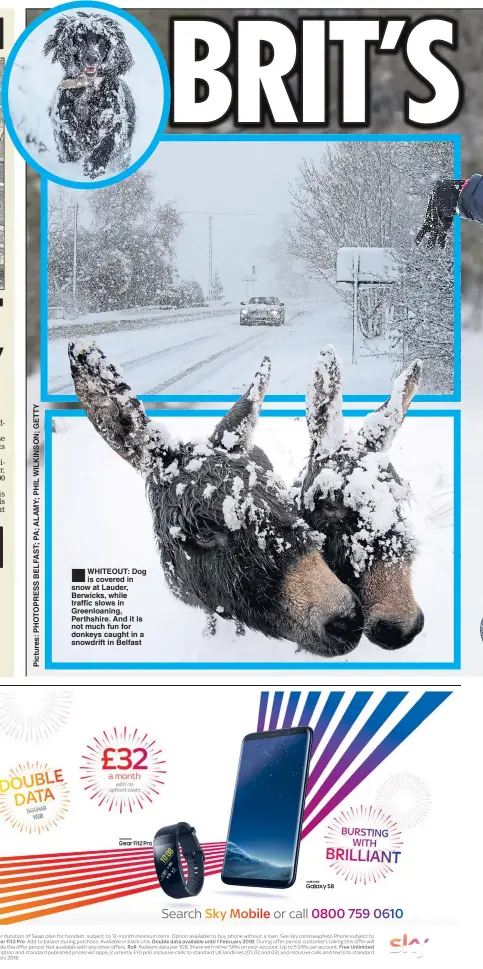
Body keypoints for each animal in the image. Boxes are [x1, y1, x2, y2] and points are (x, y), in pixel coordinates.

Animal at [44, 11, 136, 179]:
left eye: (102, 39)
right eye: (80, 38)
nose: (91, 58)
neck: (89, 87)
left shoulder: (116, 119)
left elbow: (108, 141)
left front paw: (94, 166)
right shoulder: (62, 122)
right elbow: (68, 146)